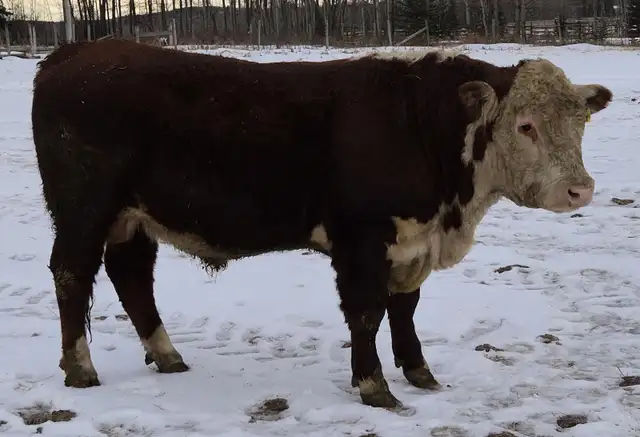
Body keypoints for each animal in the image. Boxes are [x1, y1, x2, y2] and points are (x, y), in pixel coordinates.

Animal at [31, 39, 612, 410]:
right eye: (526, 125)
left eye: (580, 121)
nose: (580, 189)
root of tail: (75, 52)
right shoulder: (362, 240)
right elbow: (367, 315)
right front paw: (375, 386)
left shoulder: (411, 244)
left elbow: (405, 310)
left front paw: (420, 373)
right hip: (84, 208)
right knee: (71, 274)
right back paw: (80, 368)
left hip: (133, 217)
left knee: (131, 277)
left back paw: (168, 356)